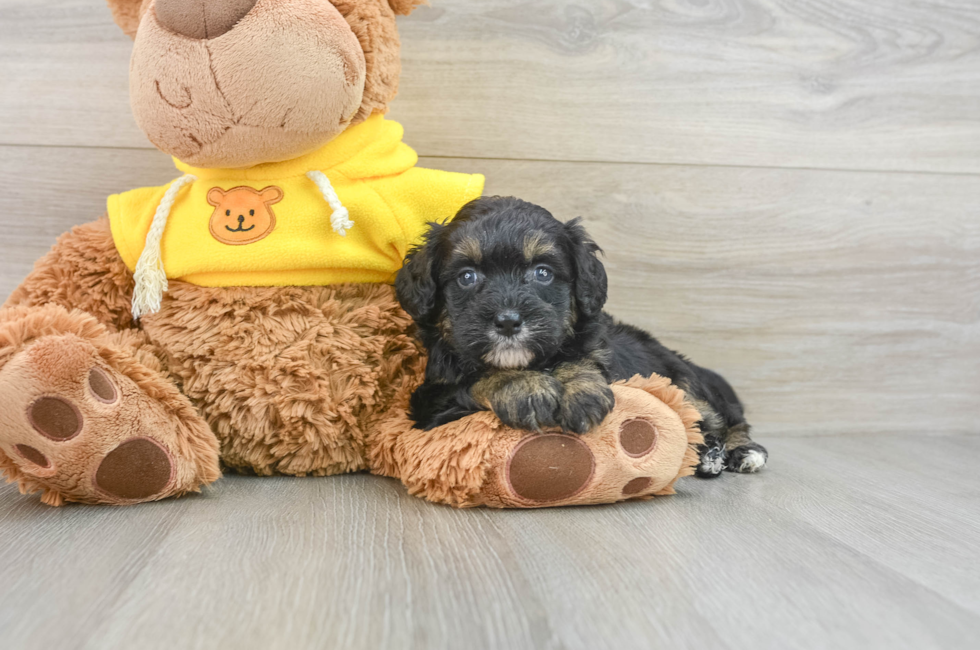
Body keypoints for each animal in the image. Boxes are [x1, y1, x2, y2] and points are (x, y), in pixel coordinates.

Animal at [394, 195, 768, 474]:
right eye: (467, 277)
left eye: (542, 273)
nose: (508, 321)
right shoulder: (431, 401)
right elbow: (477, 379)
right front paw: (523, 387)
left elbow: (582, 357)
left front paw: (580, 390)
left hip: (683, 381)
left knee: (725, 418)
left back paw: (740, 453)